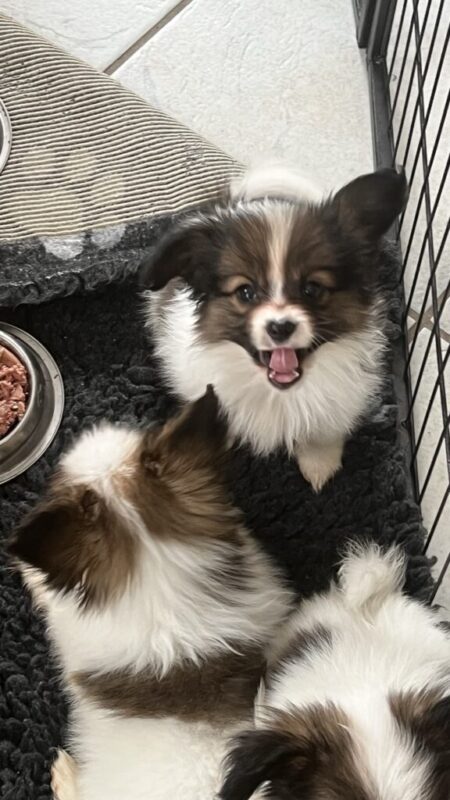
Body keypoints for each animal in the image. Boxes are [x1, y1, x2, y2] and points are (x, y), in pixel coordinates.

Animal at [141, 165, 407, 491]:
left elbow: (323, 431)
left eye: (312, 288)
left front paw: (319, 464)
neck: (277, 393)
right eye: (245, 292)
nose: (280, 327)